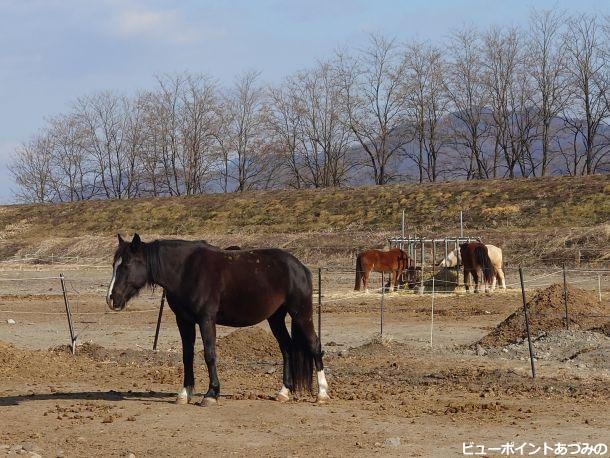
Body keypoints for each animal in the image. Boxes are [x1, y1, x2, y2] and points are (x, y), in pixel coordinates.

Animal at [106, 236, 326, 404]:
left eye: (126, 265)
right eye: (114, 265)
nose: (111, 299)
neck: (186, 271)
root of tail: (300, 267)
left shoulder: (206, 319)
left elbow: (210, 355)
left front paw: (211, 393)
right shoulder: (184, 321)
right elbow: (187, 356)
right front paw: (185, 393)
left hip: (301, 313)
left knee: (314, 345)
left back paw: (322, 394)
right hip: (276, 318)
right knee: (287, 348)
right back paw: (284, 392)